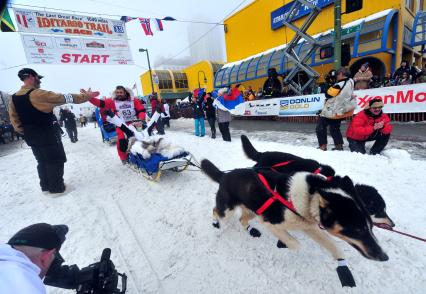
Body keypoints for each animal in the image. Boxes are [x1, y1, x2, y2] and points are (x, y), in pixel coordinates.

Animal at [201, 160, 390, 262]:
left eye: (371, 227)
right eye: (357, 229)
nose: (384, 256)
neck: (310, 197)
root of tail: (224, 174)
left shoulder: (309, 226)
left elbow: (334, 246)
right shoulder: (271, 222)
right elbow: (295, 243)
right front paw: (284, 243)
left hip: (253, 208)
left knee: (242, 220)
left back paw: (251, 230)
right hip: (228, 209)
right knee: (216, 210)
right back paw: (216, 223)